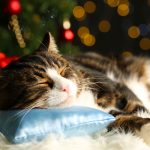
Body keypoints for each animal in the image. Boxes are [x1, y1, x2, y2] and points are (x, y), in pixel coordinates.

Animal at [0, 32, 149, 145]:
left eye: (62, 71)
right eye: (41, 83)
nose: (65, 87)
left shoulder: (116, 87)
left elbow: (137, 106)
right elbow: (118, 121)